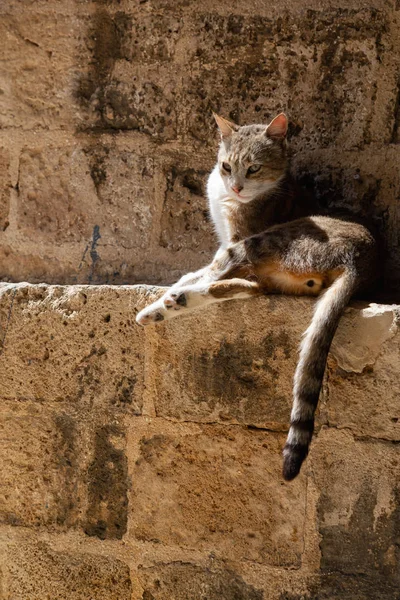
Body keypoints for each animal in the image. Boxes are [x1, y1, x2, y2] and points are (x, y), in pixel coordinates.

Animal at [137, 110, 378, 480]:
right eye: (226, 166)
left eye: (253, 168)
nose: (236, 186)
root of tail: (359, 262)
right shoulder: (230, 245)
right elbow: (207, 271)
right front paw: (181, 283)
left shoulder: (236, 240)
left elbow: (211, 266)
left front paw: (178, 286)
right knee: (242, 287)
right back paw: (171, 304)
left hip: (269, 240)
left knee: (224, 279)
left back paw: (169, 302)